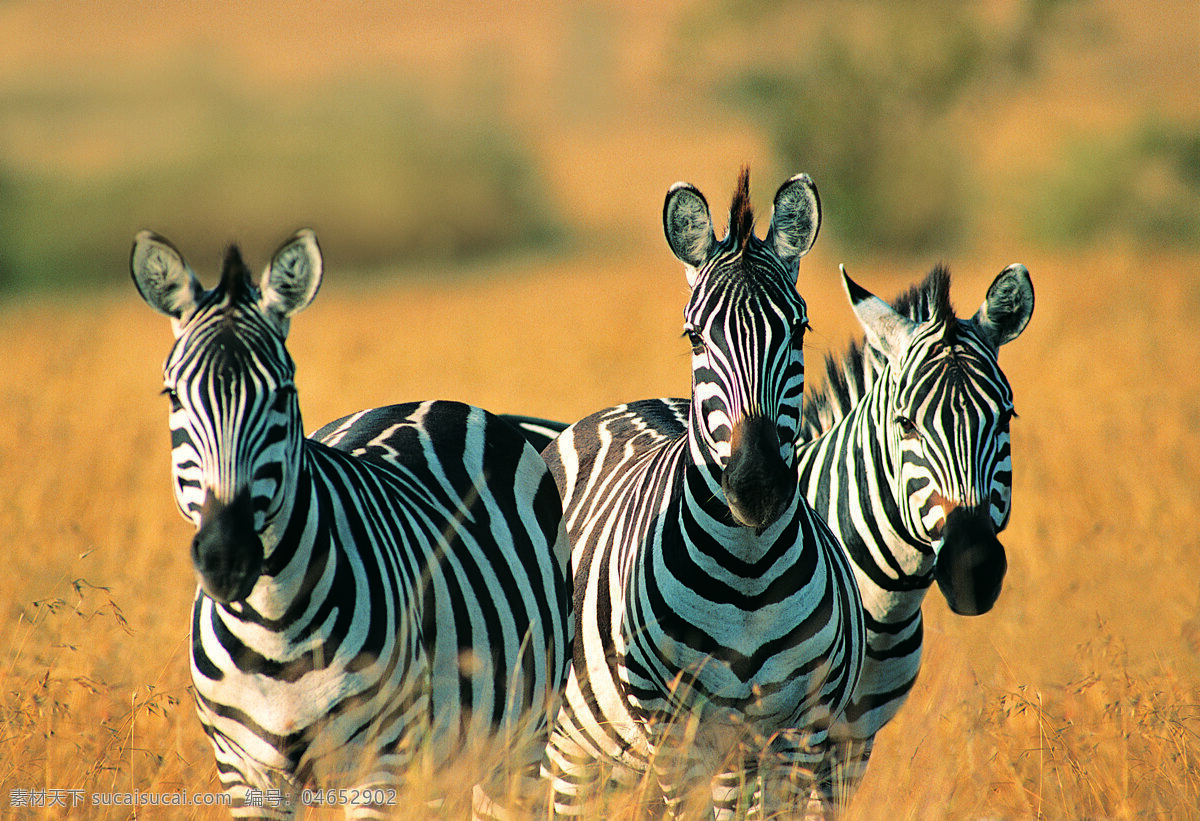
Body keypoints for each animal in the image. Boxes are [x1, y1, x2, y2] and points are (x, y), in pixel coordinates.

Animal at [131, 228, 571, 816]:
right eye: (173, 395)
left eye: (283, 393)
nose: (228, 559)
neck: (274, 630)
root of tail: (436, 401)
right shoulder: (245, 773)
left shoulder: (381, 763)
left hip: (517, 742)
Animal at [537, 170, 864, 816]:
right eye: (694, 337)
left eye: (800, 329)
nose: (756, 487)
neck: (748, 575)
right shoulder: (675, 729)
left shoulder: (800, 729)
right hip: (574, 746)